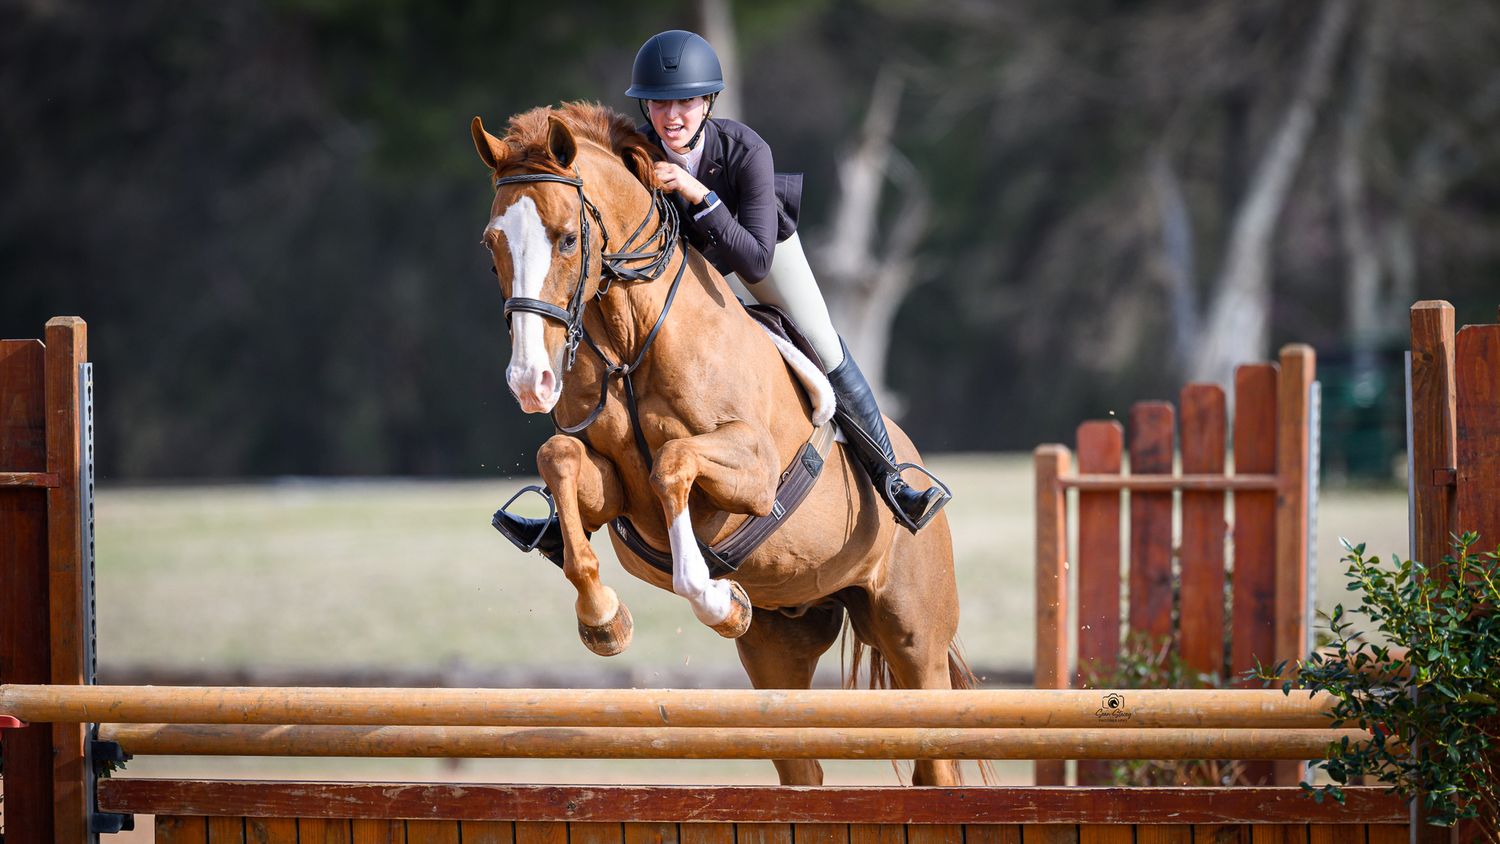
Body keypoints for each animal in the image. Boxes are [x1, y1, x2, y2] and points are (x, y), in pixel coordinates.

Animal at [473, 102, 967, 786]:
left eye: (569, 239)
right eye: (492, 246)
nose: (530, 381)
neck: (630, 338)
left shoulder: (753, 471)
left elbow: (673, 463)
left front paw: (716, 596)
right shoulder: (611, 488)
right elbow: (563, 461)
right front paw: (605, 619)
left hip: (915, 638)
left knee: (936, 746)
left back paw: (903, 494)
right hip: (779, 647)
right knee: (803, 765)